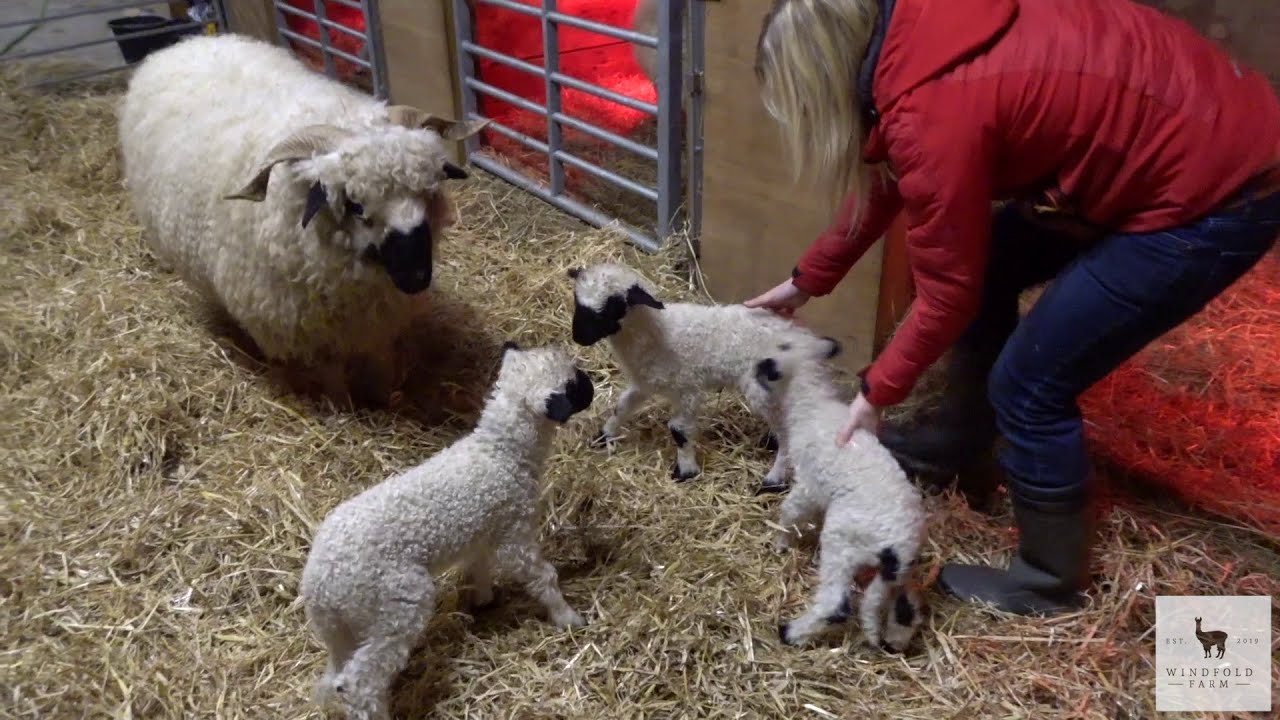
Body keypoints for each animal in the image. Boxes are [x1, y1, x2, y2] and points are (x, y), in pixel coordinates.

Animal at [117, 33, 488, 408]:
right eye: (354, 204)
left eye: (428, 192)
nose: (416, 276)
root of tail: (186, 43)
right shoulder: (308, 336)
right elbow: (333, 382)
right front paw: (343, 409)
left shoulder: (377, 322)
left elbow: (379, 366)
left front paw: (383, 398)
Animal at [299, 342, 594, 720]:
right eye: (571, 385)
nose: (593, 387)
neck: (501, 452)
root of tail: (317, 588)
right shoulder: (515, 531)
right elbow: (541, 576)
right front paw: (567, 617)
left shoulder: (485, 529)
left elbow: (479, 564)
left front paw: (483, 599)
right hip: (398, 602)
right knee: (359, 682)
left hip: (347, 627)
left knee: (340, 673)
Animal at [568, 262, 839, 494]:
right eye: (577, 302)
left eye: (613, 306)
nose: (578, 337)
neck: (657, 334)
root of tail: (811, 343)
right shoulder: (645, 381)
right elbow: (622, 406)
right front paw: (604, 436)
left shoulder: (689, 388)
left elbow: (679, 430)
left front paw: (686, 471)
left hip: (762, 389)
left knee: (787, 433)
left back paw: (773, 480)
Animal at [753, 334, 927, 653]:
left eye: (782, 348)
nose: (758, 364)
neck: (812, 402)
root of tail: (898, 546)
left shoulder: (808, 484)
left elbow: (790, 511)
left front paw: (780, 542)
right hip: (892, 574)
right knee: (893, 604)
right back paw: (891, 637)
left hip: (842, 541)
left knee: (835, 604)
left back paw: (791, 632)